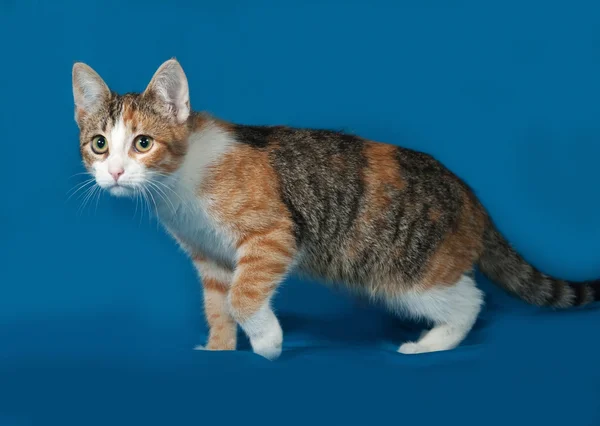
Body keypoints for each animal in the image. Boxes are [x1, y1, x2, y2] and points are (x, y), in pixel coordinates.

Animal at [71, 58, 600, 358]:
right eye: (99, 144)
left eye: (143, 143)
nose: (114, 172)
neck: (179, 181)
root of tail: (469, 193)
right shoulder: (210, 258)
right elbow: (218, 306)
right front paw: (220, 351)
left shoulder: (272, 235)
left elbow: (245, 297)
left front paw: (268, 343)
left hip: (409, 274)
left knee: (471, 300)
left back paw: (431, 344)